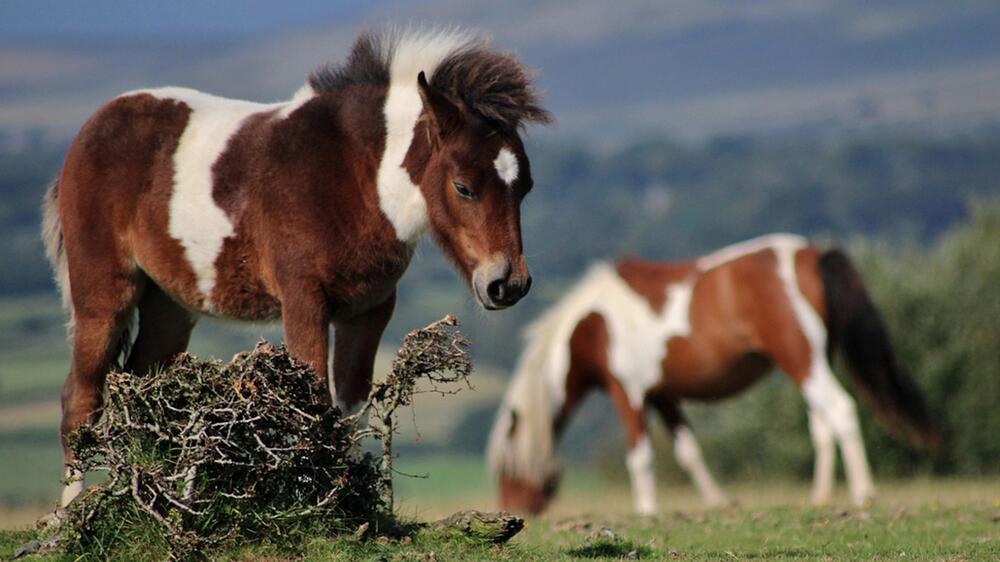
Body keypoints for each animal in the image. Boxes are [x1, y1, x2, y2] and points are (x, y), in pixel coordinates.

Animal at [43, 28, 552, 506]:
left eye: (526, 187)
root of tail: (89, 131)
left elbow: (349, 410)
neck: (353, 177)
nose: (508, 284)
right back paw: (72, 516)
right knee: (81, 400)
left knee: (144, 390)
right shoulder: (304, 301)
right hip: (104, 294)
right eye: (464, 187)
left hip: (169, 305)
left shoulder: (368, 309)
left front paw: (358, 507)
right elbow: (314, 404)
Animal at [488, 232, 940, 512]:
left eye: (506, 468)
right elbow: (688, 451)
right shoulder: (663, 394)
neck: (593, 324)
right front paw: (719, 502)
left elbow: (641, 456)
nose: (515, 509)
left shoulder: (627, 391)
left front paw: (646, 511)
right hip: (811, 362)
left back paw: (863, 494)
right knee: (821, 423)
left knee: (841, 410)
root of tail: (812, 255)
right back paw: (820, 497)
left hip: (802, 360)